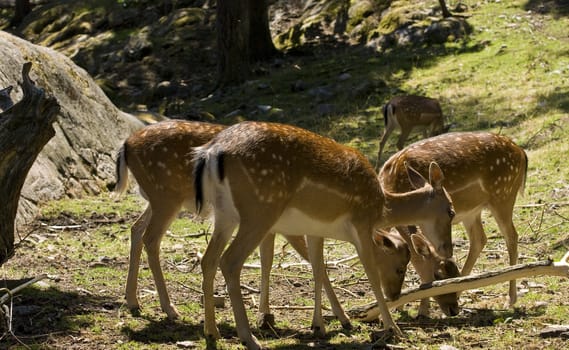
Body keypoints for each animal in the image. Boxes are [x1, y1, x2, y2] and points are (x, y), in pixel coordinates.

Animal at [191, 121, 452, 350]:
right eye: (451, 211)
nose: (447, 249)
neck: (381, 207)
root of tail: (212, 152)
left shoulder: (315, 230)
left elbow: (318, 270)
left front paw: (319, 326)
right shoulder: (361, 224)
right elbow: (370, 275)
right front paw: (393, 329)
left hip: (224, 215)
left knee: (208, 259)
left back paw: (211, 332)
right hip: (260, 210)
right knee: (230, 261)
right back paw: (249, 339)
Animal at [380, 132, 524, 312]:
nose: (452, 309)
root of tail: (521, 152)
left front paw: (422, 311)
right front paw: (401, 308)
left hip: (503, 194)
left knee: (511, 236)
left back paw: (510, 299)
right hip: (473, 210)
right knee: (479, 239)